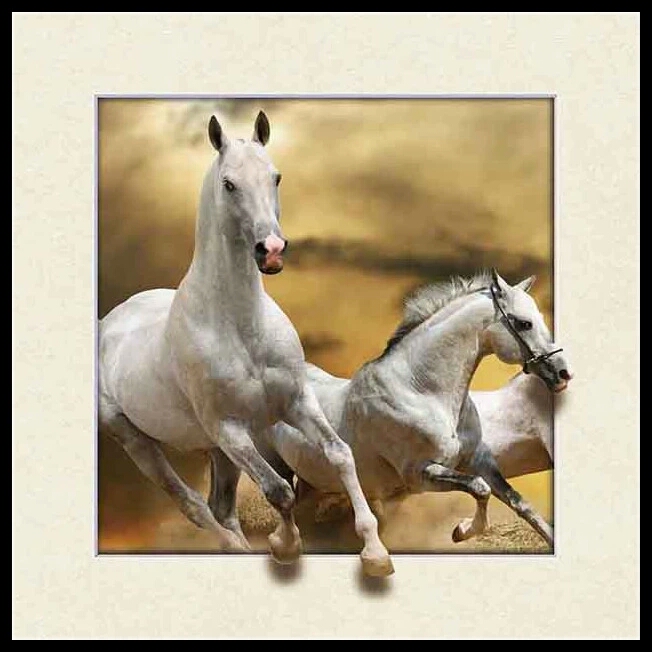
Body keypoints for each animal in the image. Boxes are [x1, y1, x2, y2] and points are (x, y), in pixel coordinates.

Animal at [98, 110, 393, 576]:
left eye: (276, 177)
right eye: (229, 184)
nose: (270, 250)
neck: (240, 327)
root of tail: (107, 323)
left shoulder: (296, 403)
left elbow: (340, 454)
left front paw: (376, 552)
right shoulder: (231, 429)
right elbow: (279, 490)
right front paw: (286, 545)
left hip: (215, 450)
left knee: (220, 507)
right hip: (138, 441)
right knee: (194, 506)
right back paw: (236, 548)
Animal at [207, 270, 572, 548]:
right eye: (523, 323)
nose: (562, 373)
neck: (422, 391)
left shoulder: (479, 460)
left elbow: (518, 502)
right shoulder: (420, 474)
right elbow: (480, 490)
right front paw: (461, 531)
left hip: (311, 477)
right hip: (274, 465)